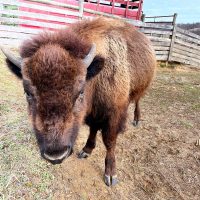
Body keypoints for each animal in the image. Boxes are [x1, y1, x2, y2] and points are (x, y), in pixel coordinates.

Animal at [1, 16, 156, 186]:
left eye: (80, 91)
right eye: (27, 92)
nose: (56, 154)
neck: (96, 77)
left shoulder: (113, 115)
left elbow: (109, 141)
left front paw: (110, 175)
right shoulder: (93, 114)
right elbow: (93, 130)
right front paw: (86, 150)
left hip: (141, 89)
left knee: (137, 101)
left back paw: (136, 120)